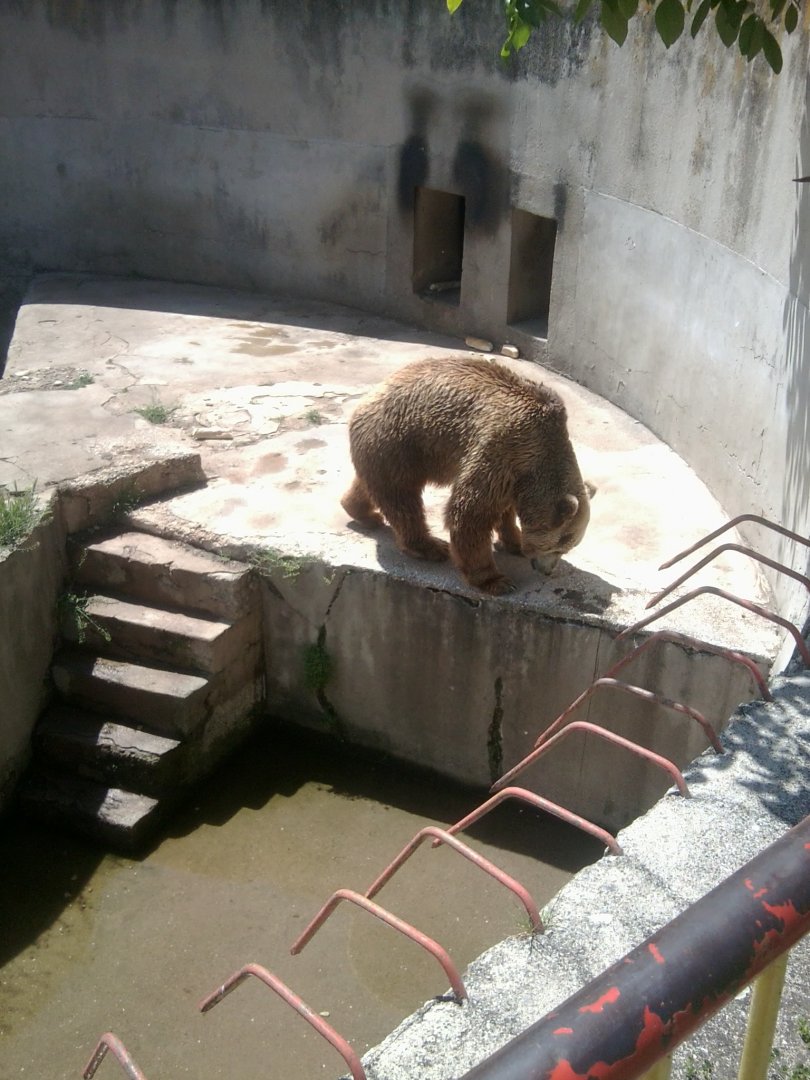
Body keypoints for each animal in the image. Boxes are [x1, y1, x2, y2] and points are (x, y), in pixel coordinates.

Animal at [340, 357, 595, 595]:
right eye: (560, 546)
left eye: (568, 546)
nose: (547, 570)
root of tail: (366, 399)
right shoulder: (502, 447)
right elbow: (471, 514)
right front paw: (496, 580)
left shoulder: (515, 475)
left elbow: (504, 510)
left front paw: (513, 541)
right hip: (399, 442)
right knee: (403, 499)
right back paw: (430, 546)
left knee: (372, 485)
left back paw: (361, 512)